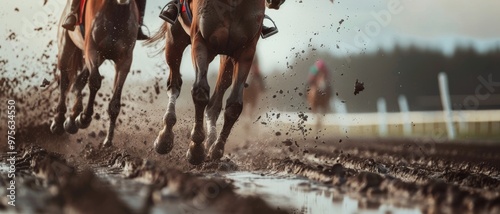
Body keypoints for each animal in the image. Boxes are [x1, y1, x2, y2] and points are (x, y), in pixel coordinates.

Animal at [50, 0, 140, 147]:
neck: (116, 13)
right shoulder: (92, 49)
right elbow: (95, 81)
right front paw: (84, 118)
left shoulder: (124, 61)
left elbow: (115, 102)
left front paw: (108, 140)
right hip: (66, 45)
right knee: (64, 81)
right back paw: (59, 122)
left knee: (78, 82)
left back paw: (72, 119)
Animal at [146, 0, 284, 165]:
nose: (276, 2)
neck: (234, 4)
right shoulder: (200, 41)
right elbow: (200, 92)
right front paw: (196, 149)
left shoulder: (245, 52)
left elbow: (234, 105)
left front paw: (216, 148)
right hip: (175, 41)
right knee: (174, 85)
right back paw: (164, 138)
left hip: (226, 57)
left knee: (215, 101)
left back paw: (210, 142)